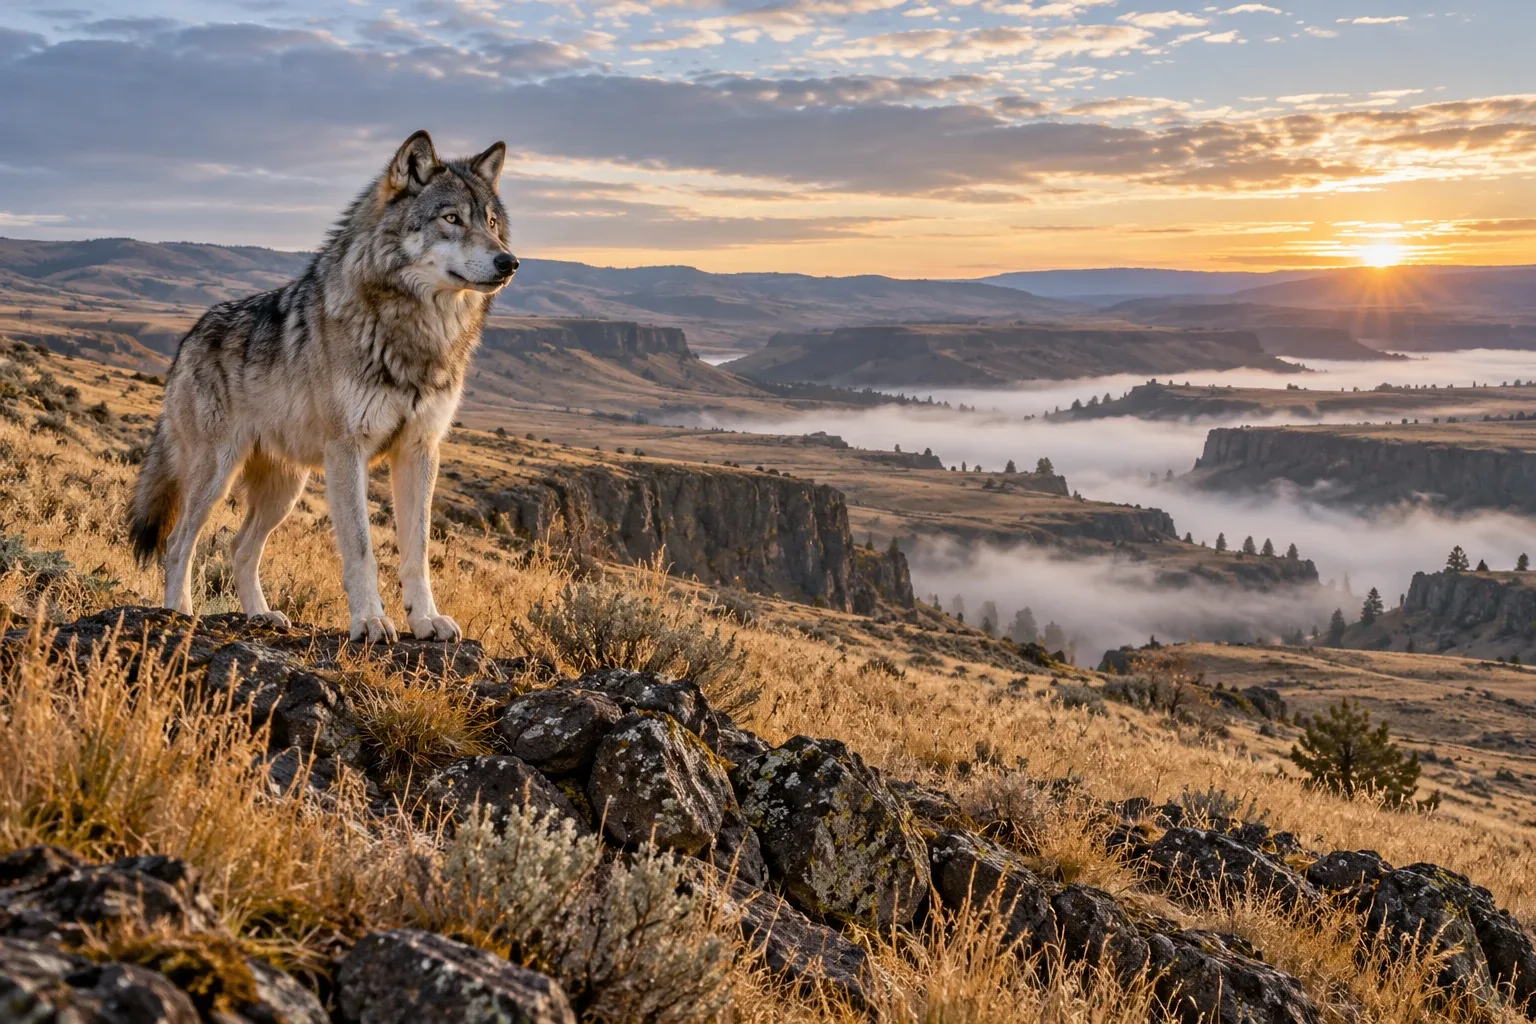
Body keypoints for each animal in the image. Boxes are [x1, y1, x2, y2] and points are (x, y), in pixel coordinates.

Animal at [128, 130, 517, 643]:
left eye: (491, 223)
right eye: (451, 218)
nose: (509, 262)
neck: (416, 332)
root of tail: (189, 336)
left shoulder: (419, 450)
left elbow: (417, 553)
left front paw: (426, 619)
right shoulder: (348, 449)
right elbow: (361, 549)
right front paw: (370, 620)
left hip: (284, 490)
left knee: (240, 547)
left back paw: (260, 615)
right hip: (215, 475)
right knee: (178, 543)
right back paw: (180, 613)